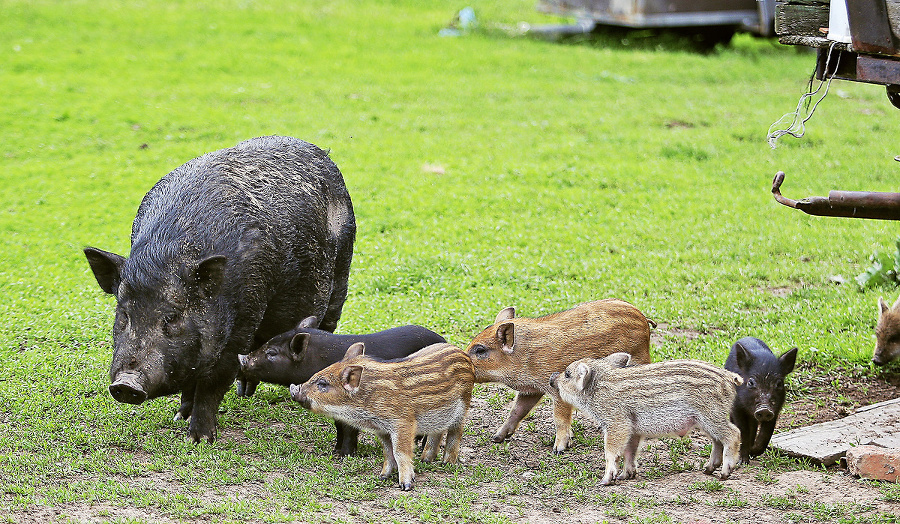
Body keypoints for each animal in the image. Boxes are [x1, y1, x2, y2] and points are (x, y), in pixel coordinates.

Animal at [82, 135, 354, 442]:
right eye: (124, 314)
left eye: (172, 317)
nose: (126, 384)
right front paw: (179, 416)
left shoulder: (245, 314)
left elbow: (214, 380)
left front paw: (199, 439)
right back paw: (244, 392)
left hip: (341, 272)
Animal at [236, 316, 446, 454]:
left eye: (271, 353)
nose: (242, 357)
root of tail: (444, 340)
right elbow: (339, 426)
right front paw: (334, 451)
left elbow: (348, 427)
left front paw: (344, 455)